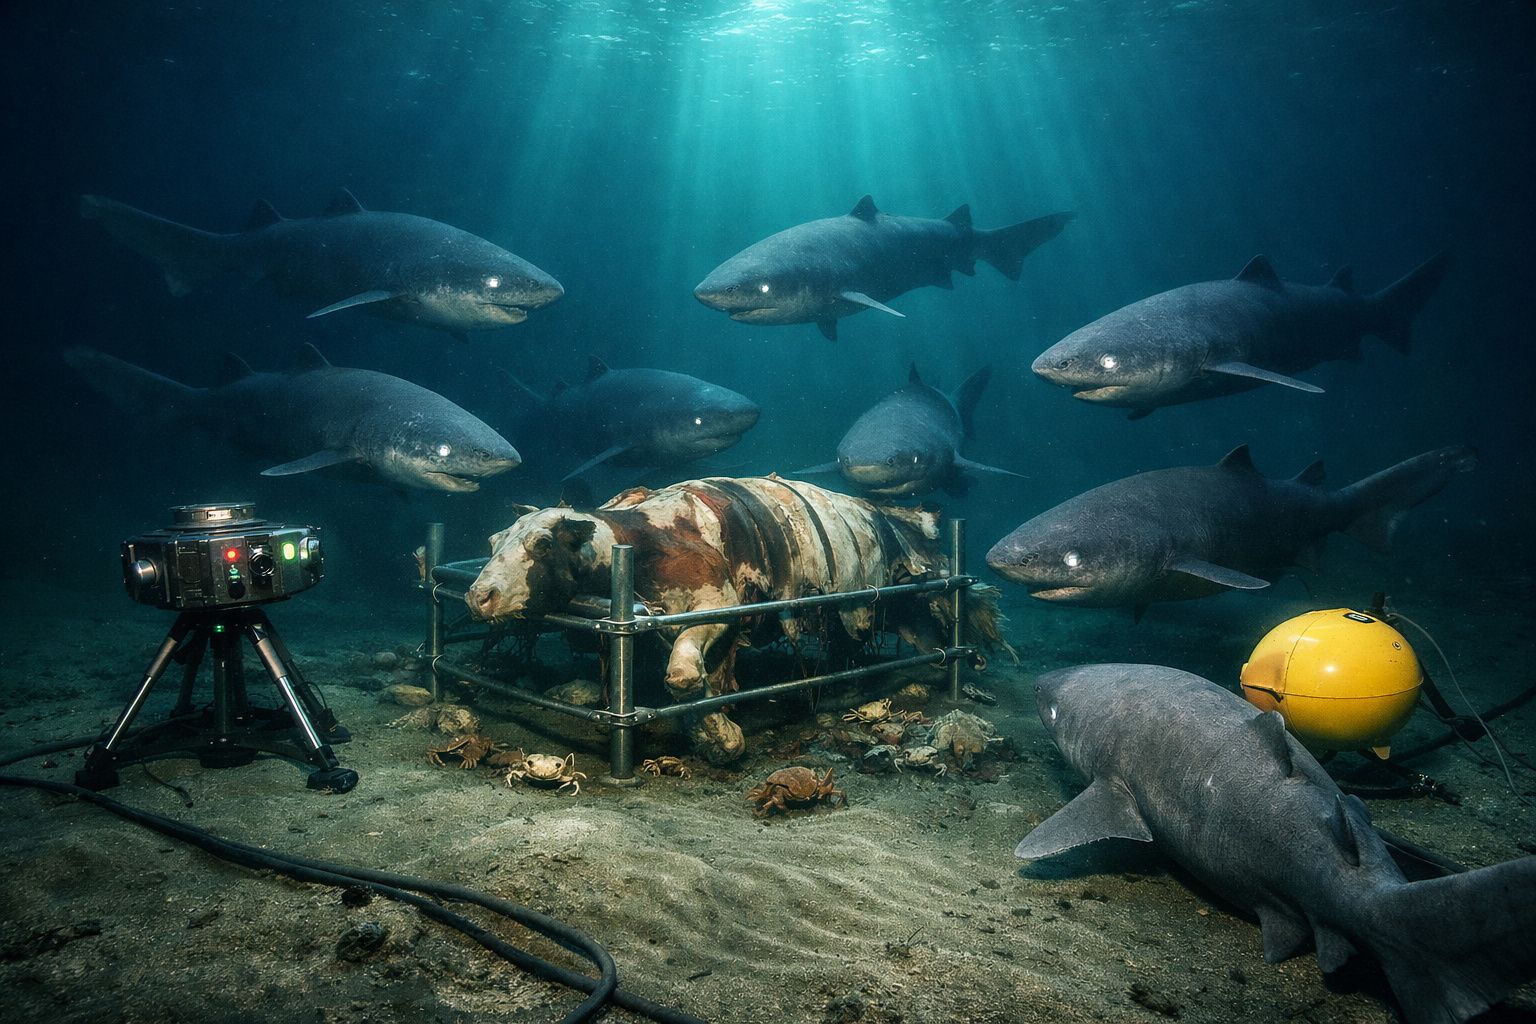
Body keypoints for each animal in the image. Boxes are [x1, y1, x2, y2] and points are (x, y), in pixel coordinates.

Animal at [465, 475, 1013, 763]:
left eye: (541, 544)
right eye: (492, 541)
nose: (478, 595)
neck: (634, 540)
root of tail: (917, 522)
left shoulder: (719, 599)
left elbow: (684, 676)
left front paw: (720, 735)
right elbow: (685, 677)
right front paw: (716, 730)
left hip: (916, 593)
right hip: (893, 610)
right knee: (862, 641)